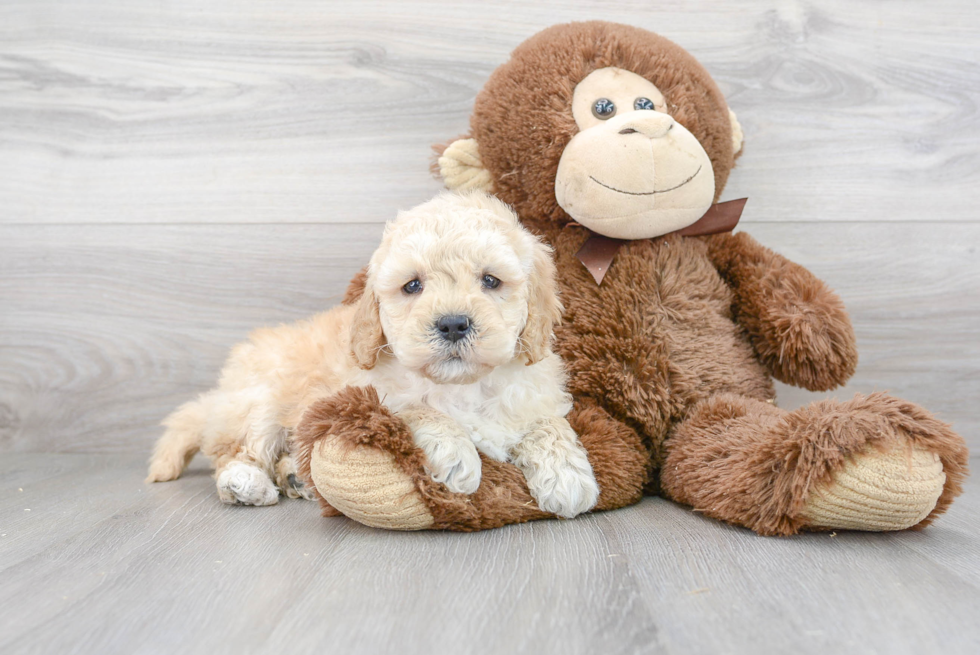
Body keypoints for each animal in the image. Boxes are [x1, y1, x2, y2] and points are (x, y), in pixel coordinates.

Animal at [148, 190, 600, 516]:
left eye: (491, 280)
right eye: (412, 286)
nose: (453, 324)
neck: (462, 386)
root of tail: (221, 395)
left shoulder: (534, 394)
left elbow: (550, 425)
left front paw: (567, 476)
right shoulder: (370, 398)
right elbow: (420, 411)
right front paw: (457, 457)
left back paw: (295, 476)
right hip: (258, 402)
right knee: (237, 451)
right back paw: (246, 482)